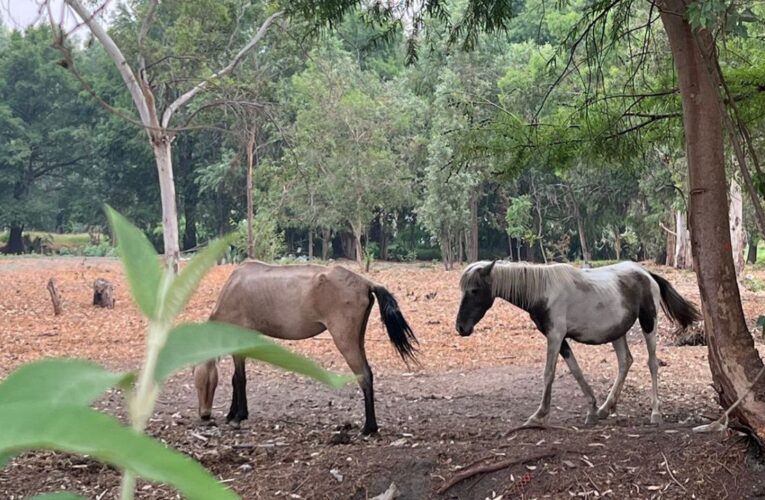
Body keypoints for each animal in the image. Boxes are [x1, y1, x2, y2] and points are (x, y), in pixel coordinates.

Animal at [194, 260, 414, 436]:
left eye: (202, 383)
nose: (204, 415)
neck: (234, 288)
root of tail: (366, 283)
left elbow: (240, 379)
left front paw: (238, 416)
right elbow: (235, 379)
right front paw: (232, 414)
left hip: (345, 340)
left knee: (364, 376)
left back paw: (369, 427)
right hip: (357, 339)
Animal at [454, 262, 700, 426]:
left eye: (474, 290)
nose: (461, 328)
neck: (543, 291)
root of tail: (646, 274)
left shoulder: (554, 336)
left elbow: (548, 373)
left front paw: (539, 414)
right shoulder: (560, 339)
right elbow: (575, 370)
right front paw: (591, 407)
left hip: (649, 323)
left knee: (652, 364)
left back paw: (655, 413)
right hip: (617, 332)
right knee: (625, 362)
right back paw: (605, 408)